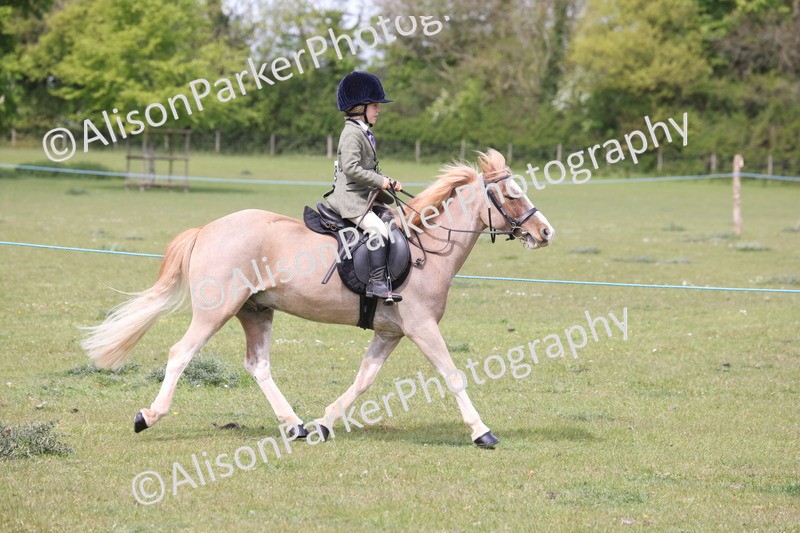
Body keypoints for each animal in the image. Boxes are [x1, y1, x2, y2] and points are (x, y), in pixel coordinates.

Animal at [81, 149, 554, 447]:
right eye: (512, 195)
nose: (545, 232)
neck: (429, 248)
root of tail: (208, 229)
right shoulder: (422, 327)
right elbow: (453, 375)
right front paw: (481, 432)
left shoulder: (390, 332)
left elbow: (363, 380)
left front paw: (325, 424)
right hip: (218, 311)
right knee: (181, 352)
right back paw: (148, 416)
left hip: (256, 311)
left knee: (258, 366)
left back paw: (295, 426)